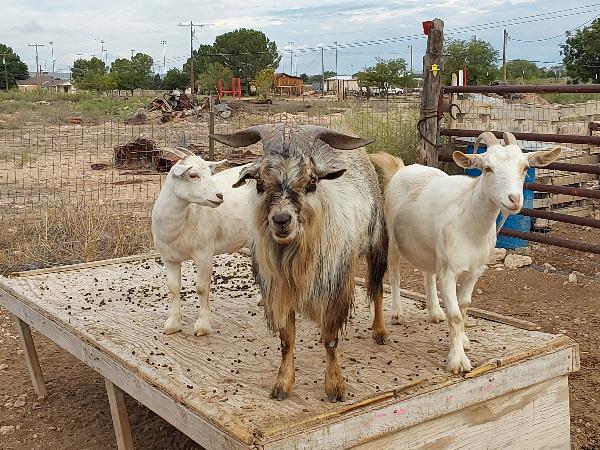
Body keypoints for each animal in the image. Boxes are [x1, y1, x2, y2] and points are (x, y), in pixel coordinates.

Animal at [152, 149, 253, 336]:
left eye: (209, 173)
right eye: (193, 175)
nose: (219, 196)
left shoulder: (204, 253)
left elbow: (202, 288)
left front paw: (203, 326)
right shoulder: (169, 258)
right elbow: (173, 287)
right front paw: (172, 324)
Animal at [370, 131, 564, 372]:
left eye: (525, 167)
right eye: (487, 168)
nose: (514, 199)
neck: (469, 222)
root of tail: (402, 168)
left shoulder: (475, 270)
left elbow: (463, 308)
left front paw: (462, 341)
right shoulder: (449, 271)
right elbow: (455, 315)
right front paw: (458, 361)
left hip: (429, 249)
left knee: (427, 274)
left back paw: (435, 312)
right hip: (393, 239)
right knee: (395, 273)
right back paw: (397, 313)